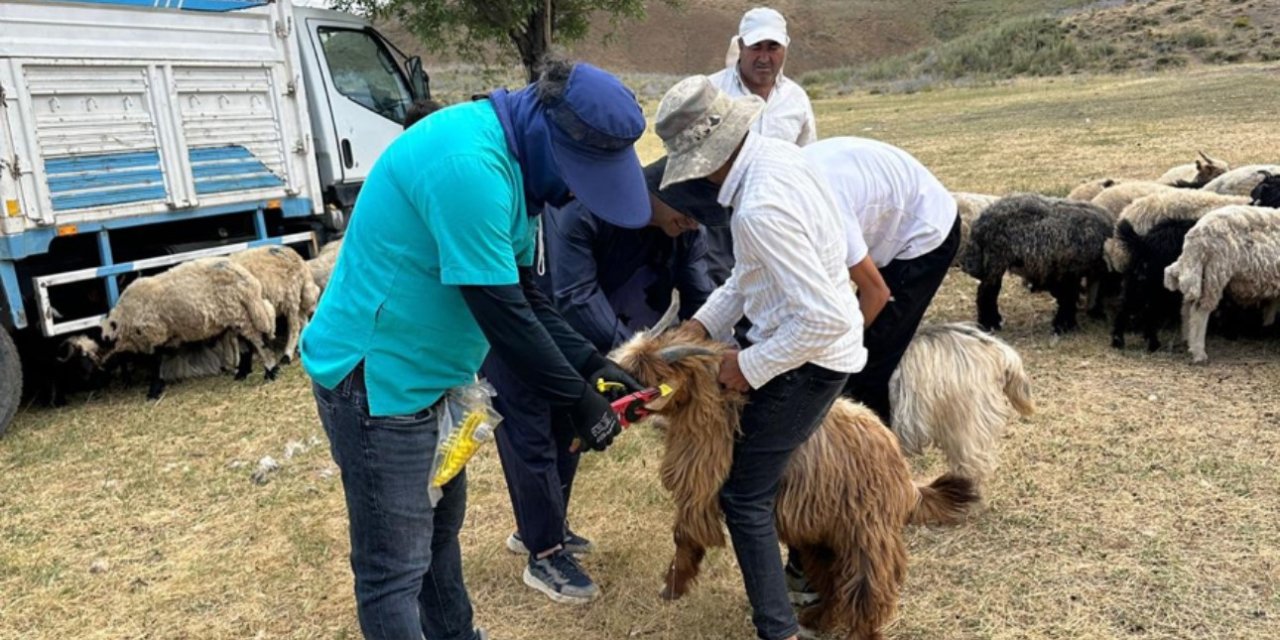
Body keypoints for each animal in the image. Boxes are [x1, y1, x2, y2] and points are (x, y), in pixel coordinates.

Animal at [611, 330, 977, 640]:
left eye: (642, 376)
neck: (719, 409)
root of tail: (904, 475)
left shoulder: (700, 489)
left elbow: (685, 537)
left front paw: (672, 587)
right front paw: (673, 587)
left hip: (867, 532)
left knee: (868, 588)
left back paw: (858, 631)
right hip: (822, 535)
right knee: (833, 581)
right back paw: (817, 619)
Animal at [1162, 206, 1280, 363]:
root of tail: (1196, 235)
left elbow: (1271, 308)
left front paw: (1267, 327)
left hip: (1199, 272)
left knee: (1187, 307)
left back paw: (1188, 340)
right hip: (1215, 273)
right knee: (1200, 311)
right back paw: (1199, 352)